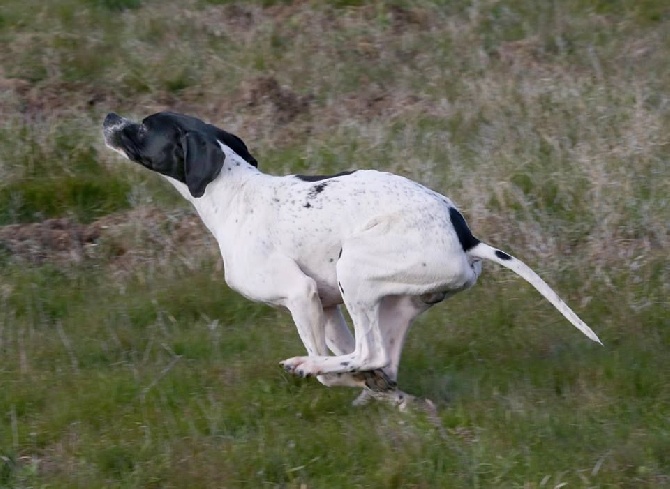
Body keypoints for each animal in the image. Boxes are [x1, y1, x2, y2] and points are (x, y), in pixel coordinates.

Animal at [103, 110, 604, 404]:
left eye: (144, 126)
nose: (108, 115)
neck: (234, 191)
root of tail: (465, 234)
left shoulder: (301, 295)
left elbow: (335, 366)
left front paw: (317, 369)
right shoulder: (326, 305)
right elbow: (352, 360)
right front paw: (368, 386)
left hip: (356, 270)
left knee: (371, 351)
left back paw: (316, 367)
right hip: (390, 301)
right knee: (381, 358)